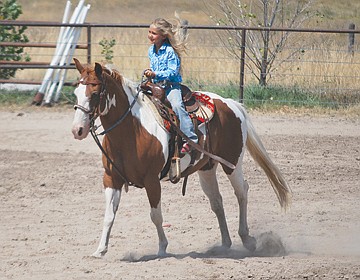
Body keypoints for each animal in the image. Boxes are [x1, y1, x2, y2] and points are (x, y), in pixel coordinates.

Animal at [71, 57, 292, 258]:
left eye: (95, 93)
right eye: (76, 93)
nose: (77, 130)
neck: (132, 131)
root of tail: (232, 104)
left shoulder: (152, 180)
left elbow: (156, 215)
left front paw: (162, 249)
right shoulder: (111, 178)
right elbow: (109, 215)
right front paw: (100, 250)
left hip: (232, 163)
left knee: (242, 192)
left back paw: (247, 239)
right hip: (207, 168)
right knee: (217, 201)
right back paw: (224, 244)